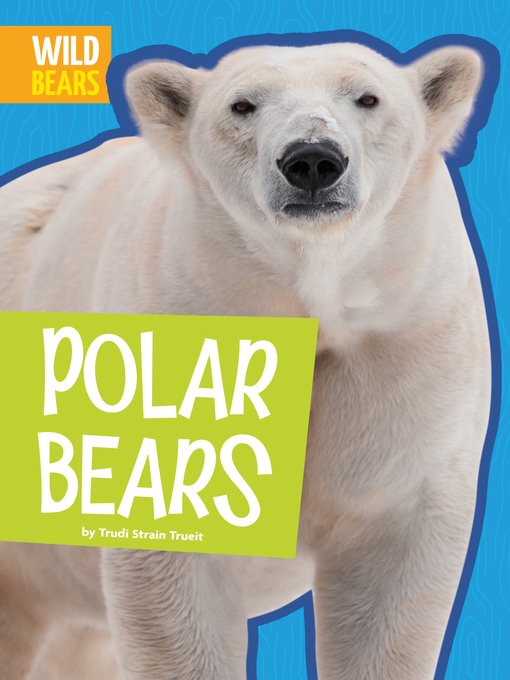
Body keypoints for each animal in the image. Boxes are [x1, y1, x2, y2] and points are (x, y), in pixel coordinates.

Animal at [0, 41, 491, 680]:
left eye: (367, 97)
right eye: (242, 104)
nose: (313, 159)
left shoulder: (402, 343)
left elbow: (390, 553)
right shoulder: (180, 335)